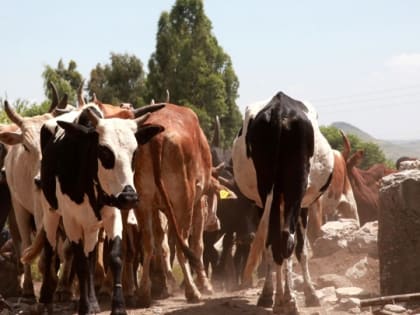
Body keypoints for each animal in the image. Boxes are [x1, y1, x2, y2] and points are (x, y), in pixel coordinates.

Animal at [34, 104, 164, 315]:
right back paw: (46, 300)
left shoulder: (113, 216)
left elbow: (113, 258)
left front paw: (117, 306)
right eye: (104, 152)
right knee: (50, 248)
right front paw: (83, 306)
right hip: (50, 211)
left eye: (135, 152)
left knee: (91, 256)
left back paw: (93, 301)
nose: (128, 197)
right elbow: (80, 263)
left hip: (92, 225)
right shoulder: (71, 220)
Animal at [231, 90, 334, 314]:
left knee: (276, 242)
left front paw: (273, 293)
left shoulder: (266, 204)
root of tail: (279, 109)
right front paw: (308, 293)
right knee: (286, 241)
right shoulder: (302, 205)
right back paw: (285, 301)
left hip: (268, 194)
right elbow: (301, 249)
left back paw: (279, 299)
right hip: (294, 190)